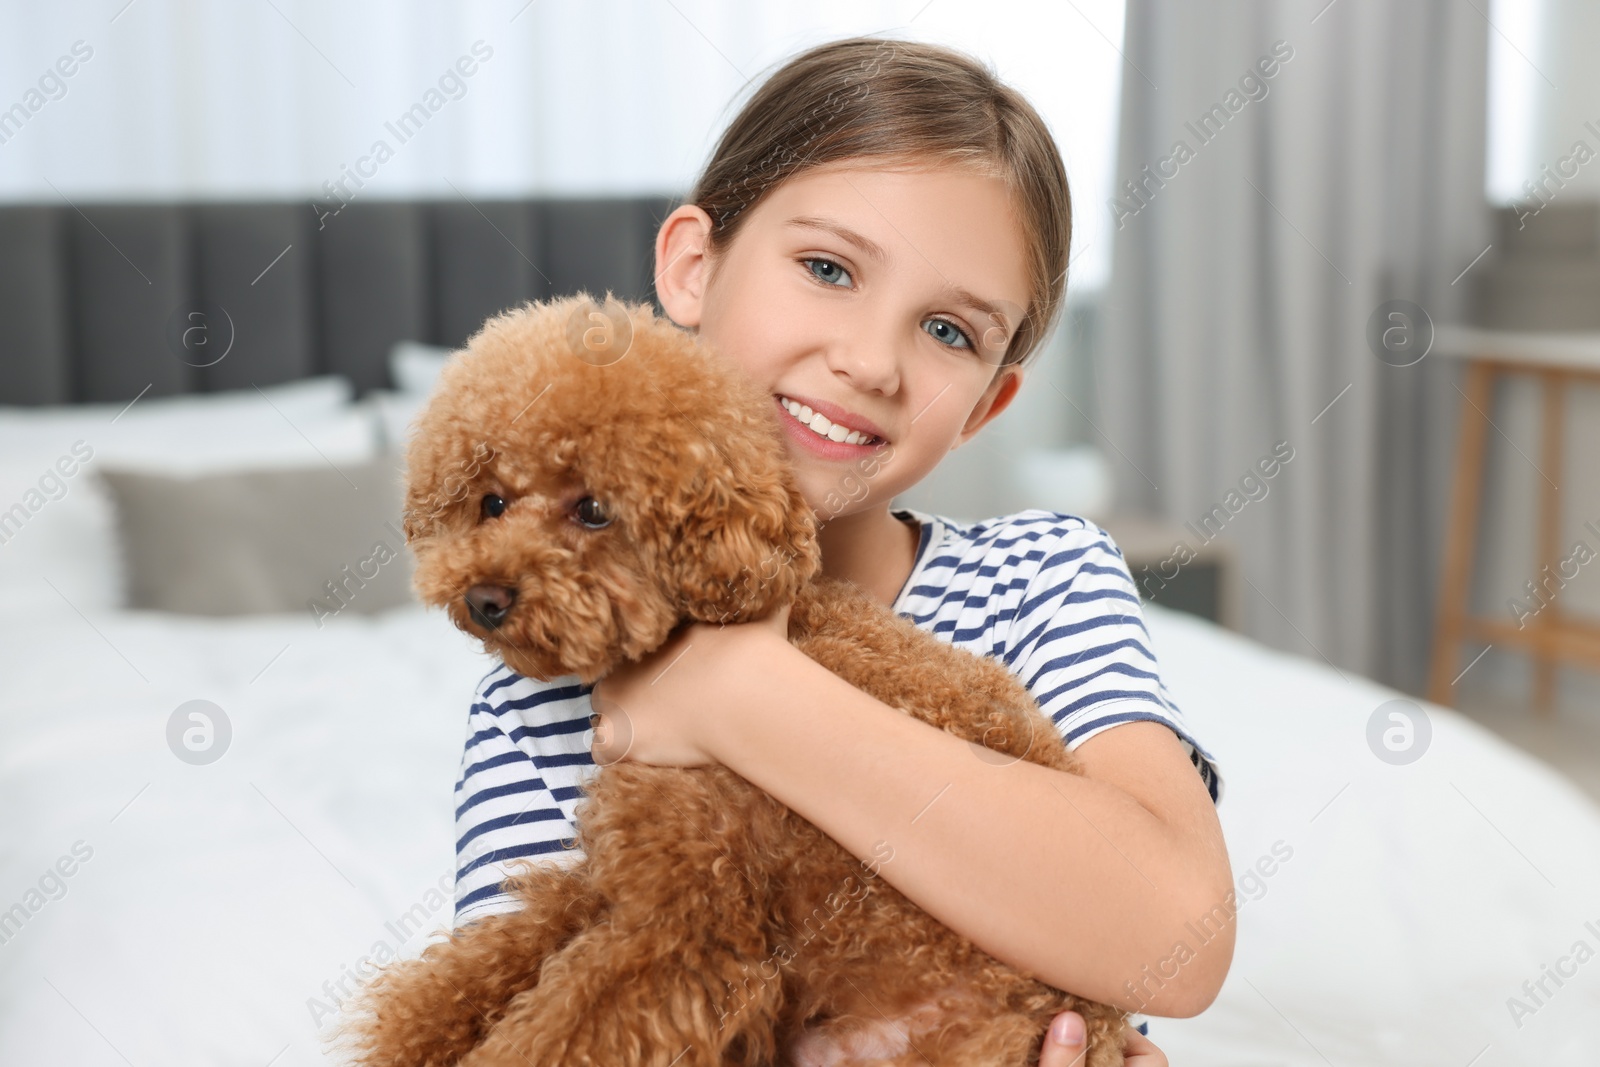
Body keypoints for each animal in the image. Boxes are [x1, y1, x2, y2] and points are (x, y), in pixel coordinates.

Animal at [334, 294, 1126, 1067]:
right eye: (492, 502)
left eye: (593, 509)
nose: (485, 598)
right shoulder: (620, 873)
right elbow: (495, 954)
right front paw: (417, 1028)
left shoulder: (691, 927)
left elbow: (563, 1024)